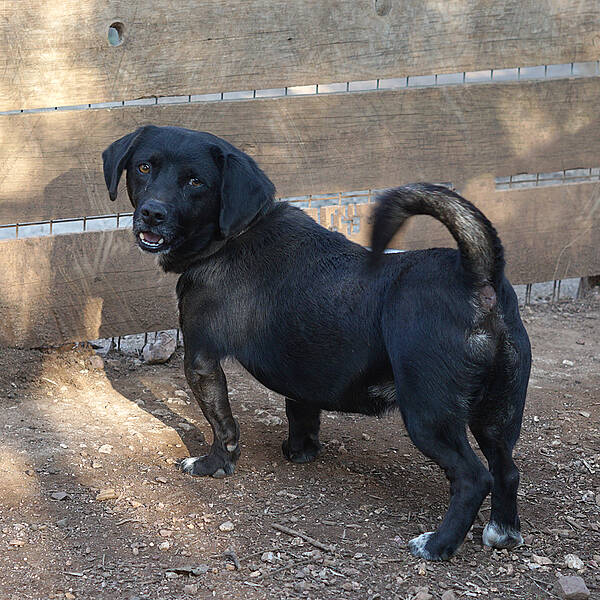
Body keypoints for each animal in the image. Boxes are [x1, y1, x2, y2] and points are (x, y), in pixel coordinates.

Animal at [102, 125, 531, 560]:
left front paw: (214, 465)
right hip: (498, 415)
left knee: (474, 477)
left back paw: (438, 544)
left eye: (195, 182)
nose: (152, 212)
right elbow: (301, 414)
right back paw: (502, 532)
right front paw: (300, 453)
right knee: (507, 469)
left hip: (429, 414)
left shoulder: (201, 360)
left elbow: (222, 425)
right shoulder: (302, 376)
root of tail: (477, 276)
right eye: (144, 167)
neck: (236, 233)